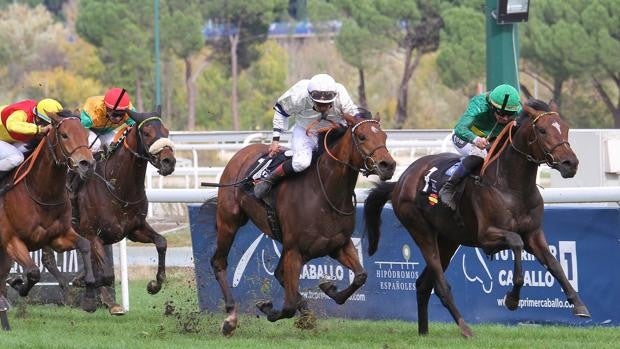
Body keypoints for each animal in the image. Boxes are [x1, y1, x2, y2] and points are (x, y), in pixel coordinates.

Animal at [0, 109, 94, 304]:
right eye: (64, 135)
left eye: (86, 135)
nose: (87, 164)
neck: (42, 194)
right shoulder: (12, 240)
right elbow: (33, 272)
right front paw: (17, 284)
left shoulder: (57, 237)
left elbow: (85, 244)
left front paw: (88, 282)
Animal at [41, 106, 177, 312]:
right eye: (146, 133)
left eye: (167, 131)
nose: (169, 161)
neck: (118, 188)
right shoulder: (91, 234)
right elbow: (106, 275)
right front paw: (86, 293)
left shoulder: (134, 229)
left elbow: (161, 242)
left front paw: (155, 284)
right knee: (47, 258)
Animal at [211, 113, 394, 336]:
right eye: (361, 136)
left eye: (384, 136)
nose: (388, 165)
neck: (325, 194)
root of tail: (241, 153)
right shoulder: (295, 251)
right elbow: (289, 306)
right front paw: (270, 309)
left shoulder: (339, 245)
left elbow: (360, 276)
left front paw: (328, 289)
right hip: (229, 221)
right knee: (219, 262)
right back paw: (230, 318)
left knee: (280, 274)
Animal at [364, 98, 592, 338]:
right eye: (542, 130)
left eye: (565, 128)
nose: (570, 163)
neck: (512, 187)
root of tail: (401, 181)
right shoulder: (486, 237)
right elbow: (516, 243)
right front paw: (512, 299)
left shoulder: (533, 234)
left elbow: (555, 264)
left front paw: (578, 304)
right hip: (421, 230)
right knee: (440, 284)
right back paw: (465, 328)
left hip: (448, 240)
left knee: (423, 284)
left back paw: (424, 332)